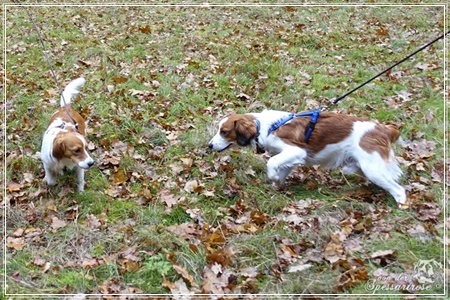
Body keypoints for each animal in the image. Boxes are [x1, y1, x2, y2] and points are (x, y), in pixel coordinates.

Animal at [207, 110, 408, 209]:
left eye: (224, 131)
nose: (209, 145)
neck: (264, 126)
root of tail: (384, 129)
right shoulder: (289, 157)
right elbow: (281, 171)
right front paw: (276, 187)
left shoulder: (296, 150)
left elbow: (271, 163)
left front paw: (272, 177)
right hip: (364, 168)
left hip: (372, 169)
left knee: (399, 189)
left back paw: (401, 205)